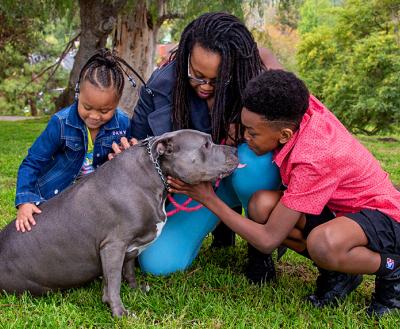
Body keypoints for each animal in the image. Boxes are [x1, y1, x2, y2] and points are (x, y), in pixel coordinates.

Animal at [0, 128, 238, 316]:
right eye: (206, 144)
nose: (235, 150)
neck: (154, 172)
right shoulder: (113, 246)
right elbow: (113, 282)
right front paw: (119, 312)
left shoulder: (129, 247)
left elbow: (129, 270)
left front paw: (135, 290)